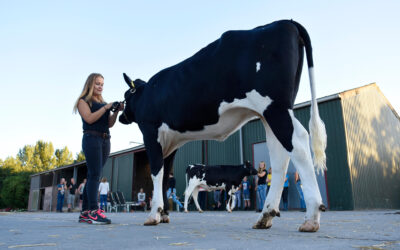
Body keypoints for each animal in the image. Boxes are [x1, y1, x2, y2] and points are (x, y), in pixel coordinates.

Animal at [120, 19, 326, 232]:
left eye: (126, 96)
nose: (120, 116)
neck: (148, 92)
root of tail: (285, 22)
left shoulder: (149, 131)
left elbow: (156, 172)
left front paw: (154, 214)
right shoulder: (170, 141)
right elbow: (164, 172)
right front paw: (164, 215)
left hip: (275, 108)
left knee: (298, 143)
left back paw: (311, 216)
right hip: (270, 113)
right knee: (280, 155)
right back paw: (266, 215)